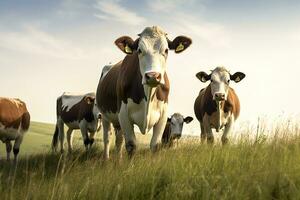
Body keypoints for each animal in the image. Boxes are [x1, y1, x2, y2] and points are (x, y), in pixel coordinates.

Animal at [96, 25, 192, 159]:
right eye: (139, 50)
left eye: (166, 50)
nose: (153, 76)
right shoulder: (123, 113)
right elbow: (131, 145)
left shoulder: (163, 116)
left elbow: (155, 146)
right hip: (105, 115)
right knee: (107, 138)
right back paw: (106, 159)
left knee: (119, 140)